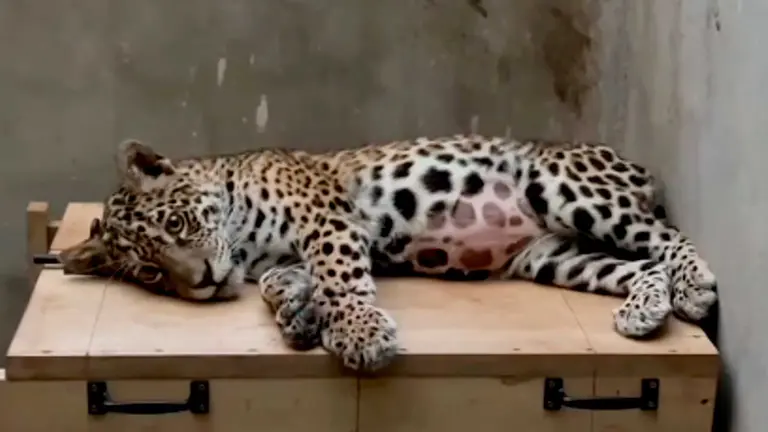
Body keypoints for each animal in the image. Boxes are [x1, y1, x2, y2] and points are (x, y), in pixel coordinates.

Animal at [58, 135, 718, 372]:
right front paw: (298, 313)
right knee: (642, 264)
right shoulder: (280, 256)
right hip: (555, 254)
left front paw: (357, 333)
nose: (199, 281)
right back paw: (645, 311)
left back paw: (695, 288)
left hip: (561, 185)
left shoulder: (326, 216)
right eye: (150, 271)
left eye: (176, 222)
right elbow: (283, 282)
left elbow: (339, 274)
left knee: (669, 238)